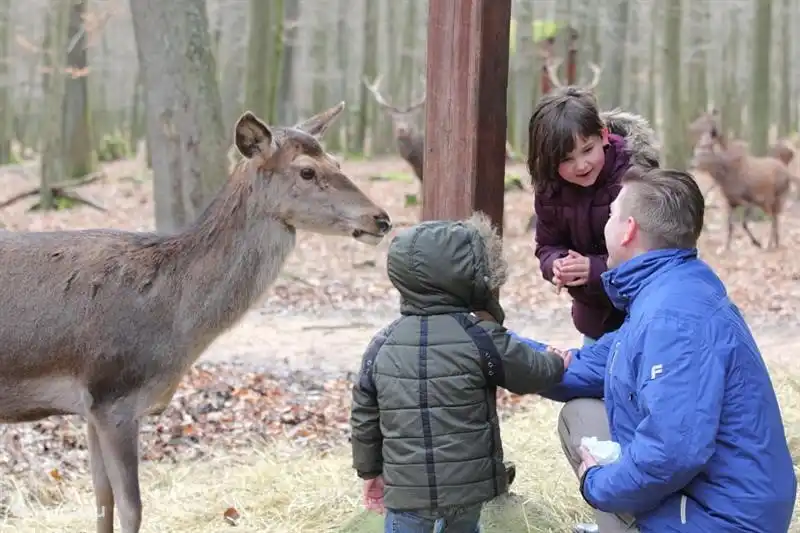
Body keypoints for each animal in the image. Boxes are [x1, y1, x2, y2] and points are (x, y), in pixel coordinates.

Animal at [0, 102, 392, 533]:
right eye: (307, 171)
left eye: (337, 161)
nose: (381, 219)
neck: (175, 323)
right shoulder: (113, 393)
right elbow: (131, 506)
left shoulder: (90, 406)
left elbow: (101, 499)